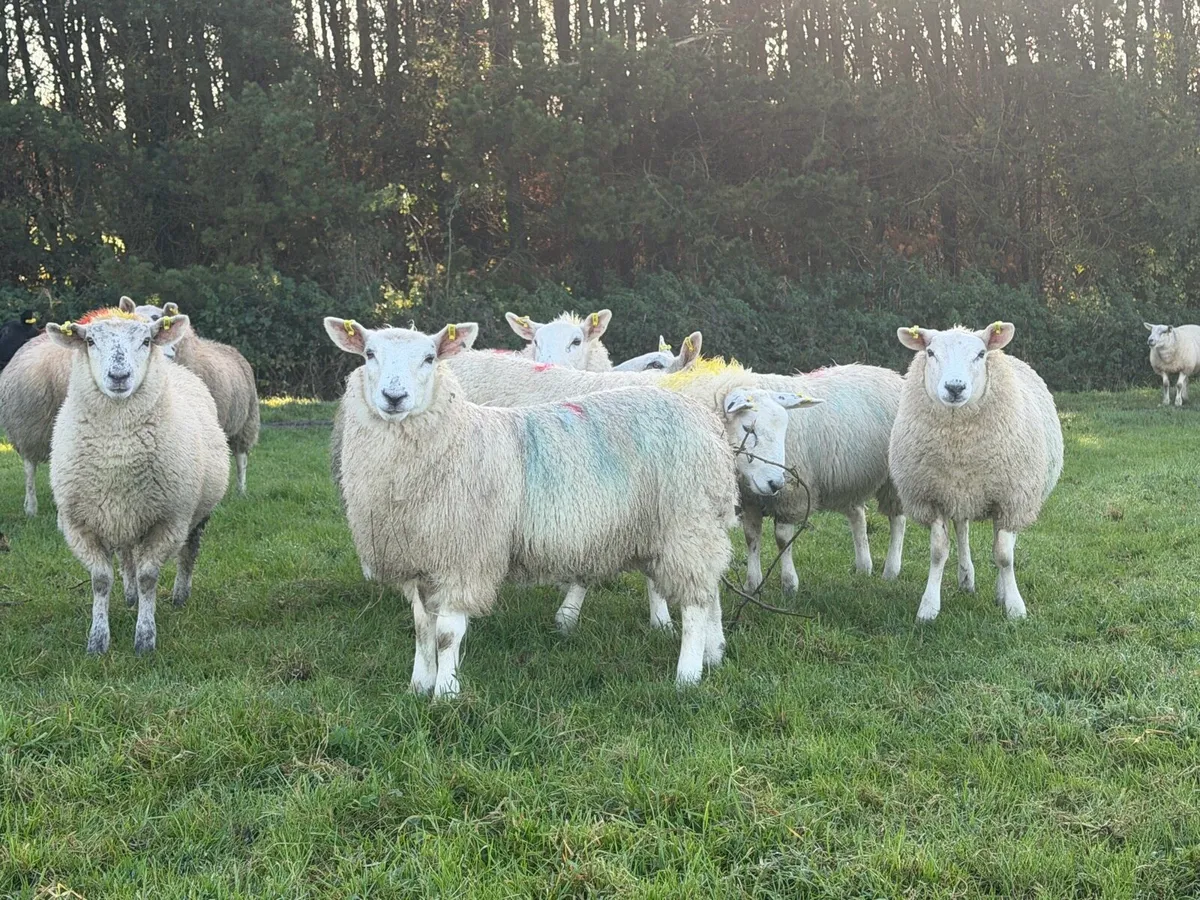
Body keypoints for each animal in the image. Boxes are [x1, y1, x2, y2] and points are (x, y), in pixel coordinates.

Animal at [46, 308, 229, 654]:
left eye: (146, 341)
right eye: (90, 341)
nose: (119, 377)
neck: (117, 449)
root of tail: (177, 367)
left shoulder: (168, 521)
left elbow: (148, 578)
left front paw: (145, 638)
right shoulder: (79, 524)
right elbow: (101, 580)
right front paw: (97, 640)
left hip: (194, 513)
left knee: (188, 552)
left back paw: (180, 595)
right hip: (123, 516)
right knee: (126, 555)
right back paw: (129, 596)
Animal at [326, 318, 741, 696]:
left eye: (430, 358)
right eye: (369, 354)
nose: (393, 397)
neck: (454, 439)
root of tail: (706, 419)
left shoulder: (464, 557)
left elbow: (446, 634)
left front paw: (445, 693)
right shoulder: (417, 558)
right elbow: (421, 629)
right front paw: (418, 685)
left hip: (685, 523)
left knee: (696, 604)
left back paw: (687, 676)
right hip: (689, 526)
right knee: (710, 591)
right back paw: (714, 652)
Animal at [444, 351, 902, 629]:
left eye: (786, 427)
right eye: (750, 427)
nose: (776, 482)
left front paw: (660, 617)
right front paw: (569, 613)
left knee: (878, 516)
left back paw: (875, 567)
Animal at [889, 322, 1063, 622]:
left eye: (981, 354)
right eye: (931, 352)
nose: (955, 387)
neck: (959, 442)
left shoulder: (1011, 498)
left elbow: (1004, 555)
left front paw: (1014, 606)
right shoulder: (932, 498)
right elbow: (938, 552)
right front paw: (928, 607)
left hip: (1017, 495)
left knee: (1005, 541)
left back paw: (1000, 590)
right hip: (960, 494)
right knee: (962, 529)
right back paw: (966, 579)